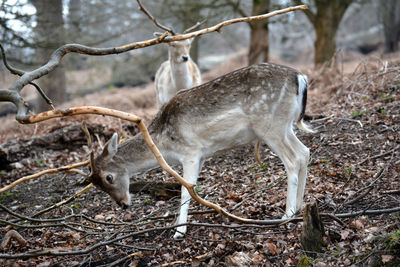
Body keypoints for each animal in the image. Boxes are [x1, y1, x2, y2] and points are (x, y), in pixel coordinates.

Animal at [88, 63, 316, 241]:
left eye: (108, 177)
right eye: (96, 183)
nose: (123, 204)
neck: (164, 142)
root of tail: (301, 78)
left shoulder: (190, 151)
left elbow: (185, 190)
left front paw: (179, 232)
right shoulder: (202, 156)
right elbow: (193, 189)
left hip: (269, 126)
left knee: (293, 160)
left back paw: (287, 214)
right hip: (285, 126)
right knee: (304, 152)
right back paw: (299, 207)